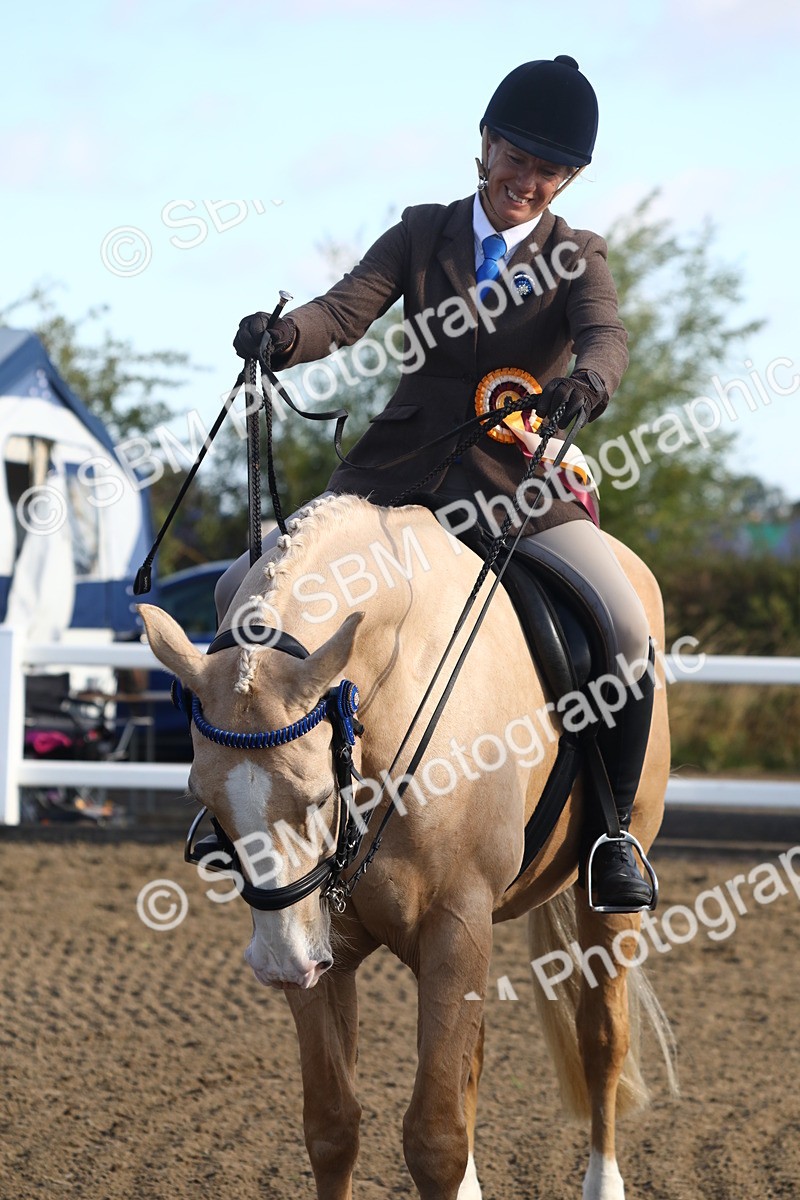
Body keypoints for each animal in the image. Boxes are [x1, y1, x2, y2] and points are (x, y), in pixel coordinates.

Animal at [138, 492, 676, 1200]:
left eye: (318, 795)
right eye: (202, 795)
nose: (280, 964)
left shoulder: (454, 926)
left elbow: (435, 1140)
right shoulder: (323, 941)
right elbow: (332, 1125)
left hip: (604, 900)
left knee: (601, 1039)